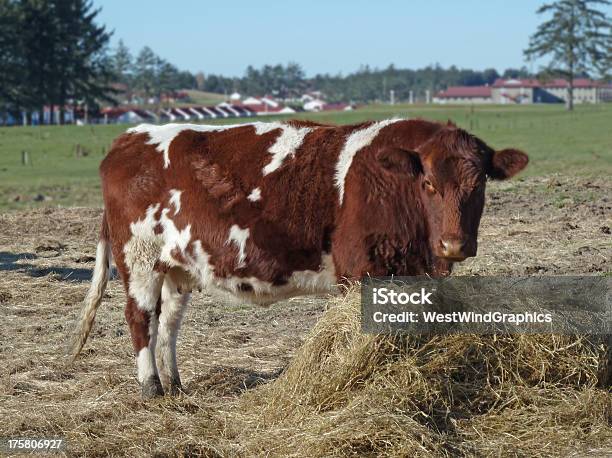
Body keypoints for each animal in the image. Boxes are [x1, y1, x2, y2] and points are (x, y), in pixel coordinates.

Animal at [70, 118, 524, 398]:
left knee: (167, 325)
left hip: (176, 267)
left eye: (480, 183)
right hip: (139, 259)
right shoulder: (361, 270)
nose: (454, 244)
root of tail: (129, 137)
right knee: (139, 318)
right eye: (428, 183)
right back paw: (151, 387)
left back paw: (175, 385)